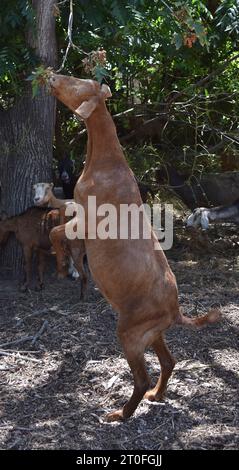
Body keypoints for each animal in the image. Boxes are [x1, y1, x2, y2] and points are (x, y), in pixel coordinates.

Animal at [47, 72, 221, 422]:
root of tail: (176, 310)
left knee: (142, 377)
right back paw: (157, 395)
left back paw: (121, 414)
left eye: (76, 82)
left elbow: (58, 232)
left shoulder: (86, 219)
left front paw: (62, 265)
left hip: (129, 333)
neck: (105, 160)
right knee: (168, 362)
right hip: (151, 333)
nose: (52, 75)